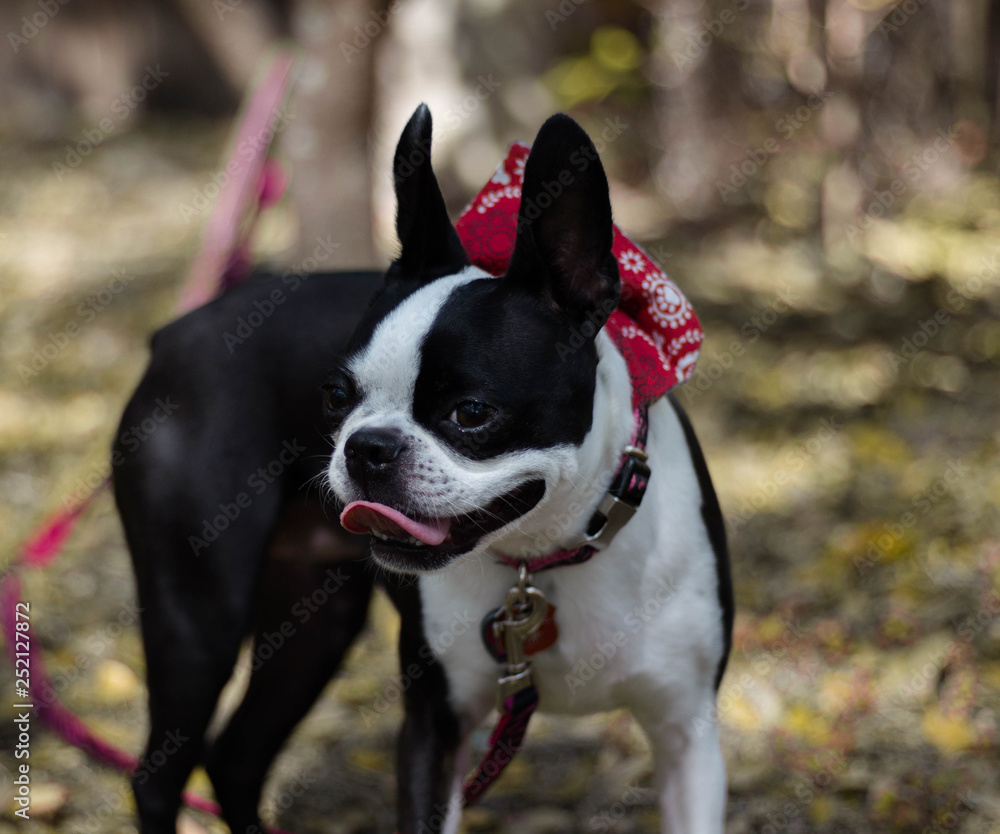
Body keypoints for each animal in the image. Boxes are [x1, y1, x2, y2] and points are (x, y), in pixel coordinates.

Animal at [115, 105, 736, 832]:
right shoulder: (435, 728)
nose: (367, 446)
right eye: (335, 396)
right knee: (161, 775)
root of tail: (176, 333)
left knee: (237, 756)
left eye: (471, 413)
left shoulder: (687, 735)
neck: (546, 556)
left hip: (314, 623)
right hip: (198, 620)